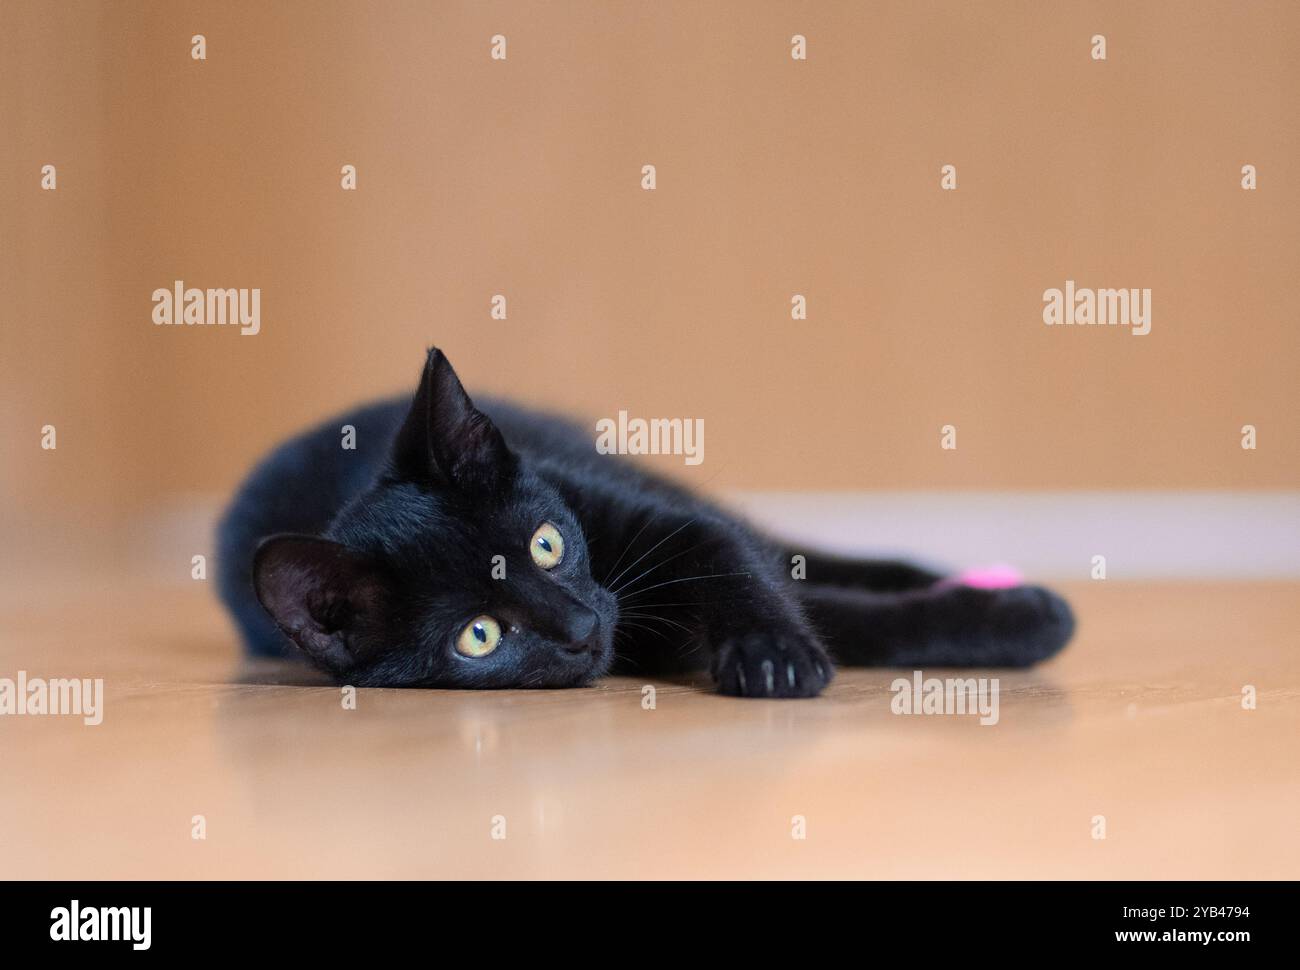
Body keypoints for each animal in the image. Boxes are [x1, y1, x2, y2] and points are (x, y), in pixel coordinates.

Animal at [218, 348, 1076, 696]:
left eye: (547, 544)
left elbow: (736, 555)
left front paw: (771, 652)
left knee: (786, 548)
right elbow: (844, 616)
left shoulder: (659, 524)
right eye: (480, 635)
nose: (579, 626)